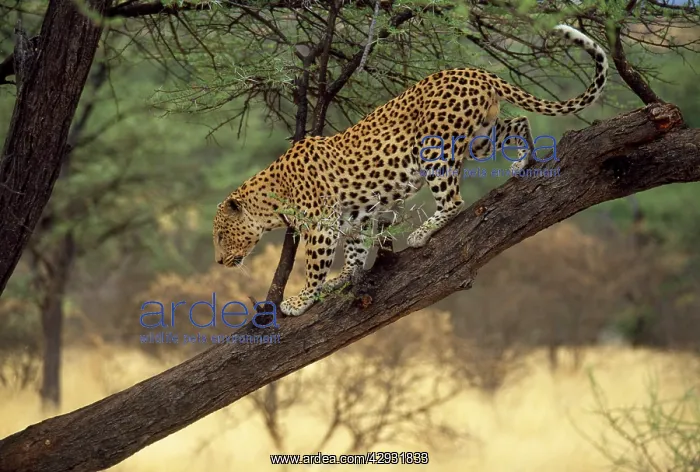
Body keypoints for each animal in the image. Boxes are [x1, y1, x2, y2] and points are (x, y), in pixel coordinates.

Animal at [213, 24, 608, 317]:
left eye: (219, 235)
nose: (218, 261)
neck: (270, 202)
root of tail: (474, 70)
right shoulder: (354, 217)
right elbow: (355, 250)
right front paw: (345, 278)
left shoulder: (321, 226)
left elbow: (314, 264)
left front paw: (301, 299)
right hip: (481, 136)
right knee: (520, 122)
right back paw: (522, 161)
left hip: (435, 147)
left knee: (454, 200)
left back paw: (423, 232)